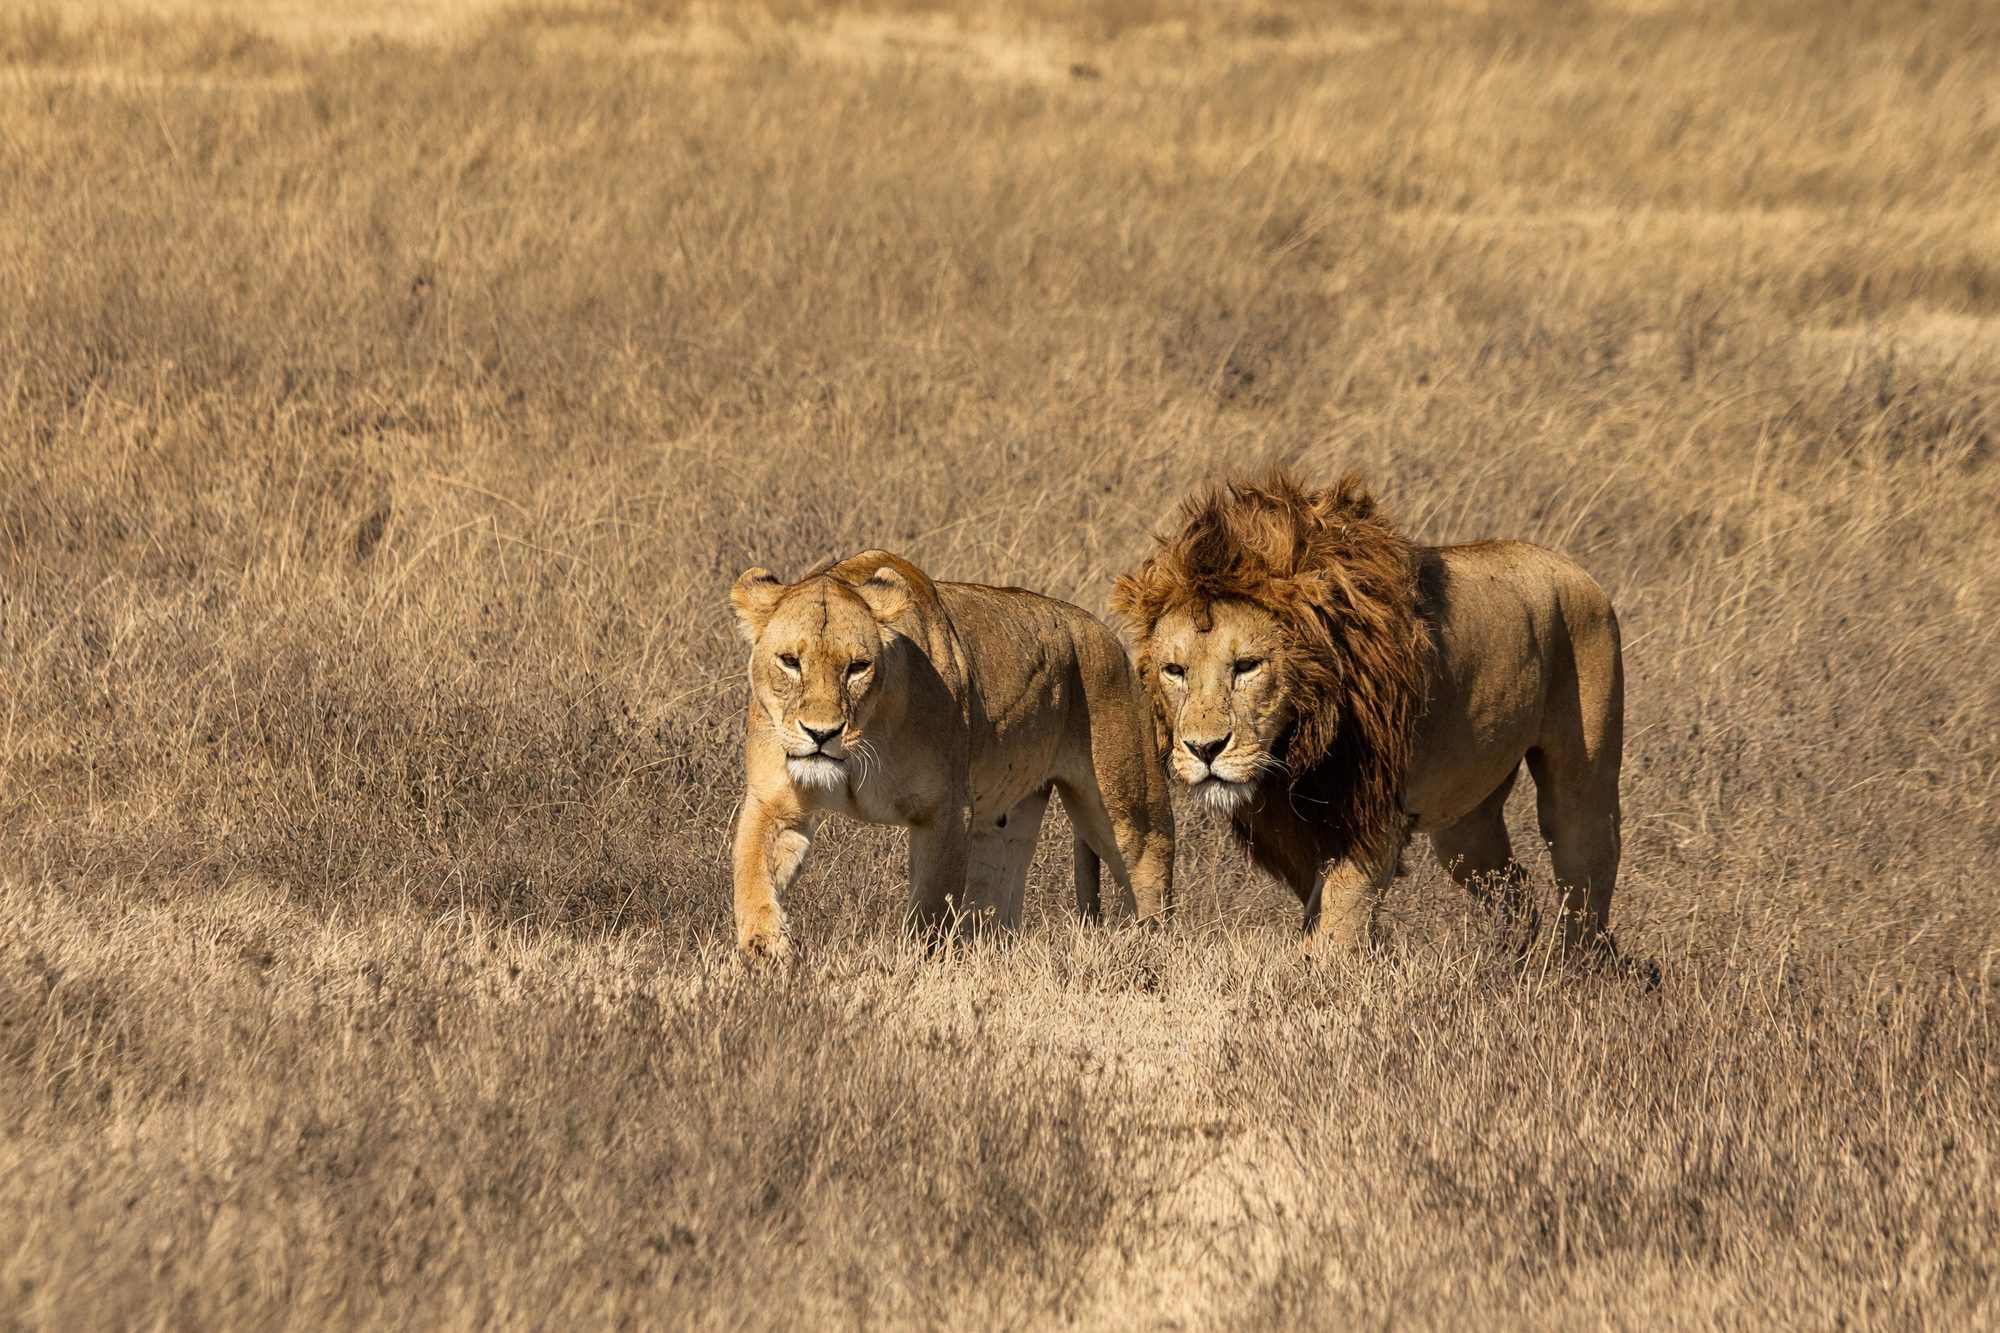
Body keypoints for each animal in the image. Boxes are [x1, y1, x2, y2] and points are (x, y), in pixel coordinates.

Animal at [728, 549, 1175, 956]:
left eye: (857, 667)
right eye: (790, 661)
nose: (822, 733)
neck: (862, 746)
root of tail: (1106, 635)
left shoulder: (947, 809)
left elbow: (931, 906)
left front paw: (914, 966)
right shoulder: (773, 801)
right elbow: (751, 872)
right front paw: (765, 950)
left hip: (1127, 813)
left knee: (1150, 879)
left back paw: (1148, 957)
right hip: (1005, 824)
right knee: (997, 905)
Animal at [1112, 470, 1626, 959]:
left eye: (1247, 666)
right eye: (1175, 671)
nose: (1204, 749)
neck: (1298, 744)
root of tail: (1576, 569)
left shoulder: (1373, 814)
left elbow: (1339, 923)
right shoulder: (1295, 833)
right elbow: (1324, 912)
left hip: (1582, 778)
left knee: (1585, 873)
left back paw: (1573, 972)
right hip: (1467, 824)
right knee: (1509, 882)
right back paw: (1512, 958)